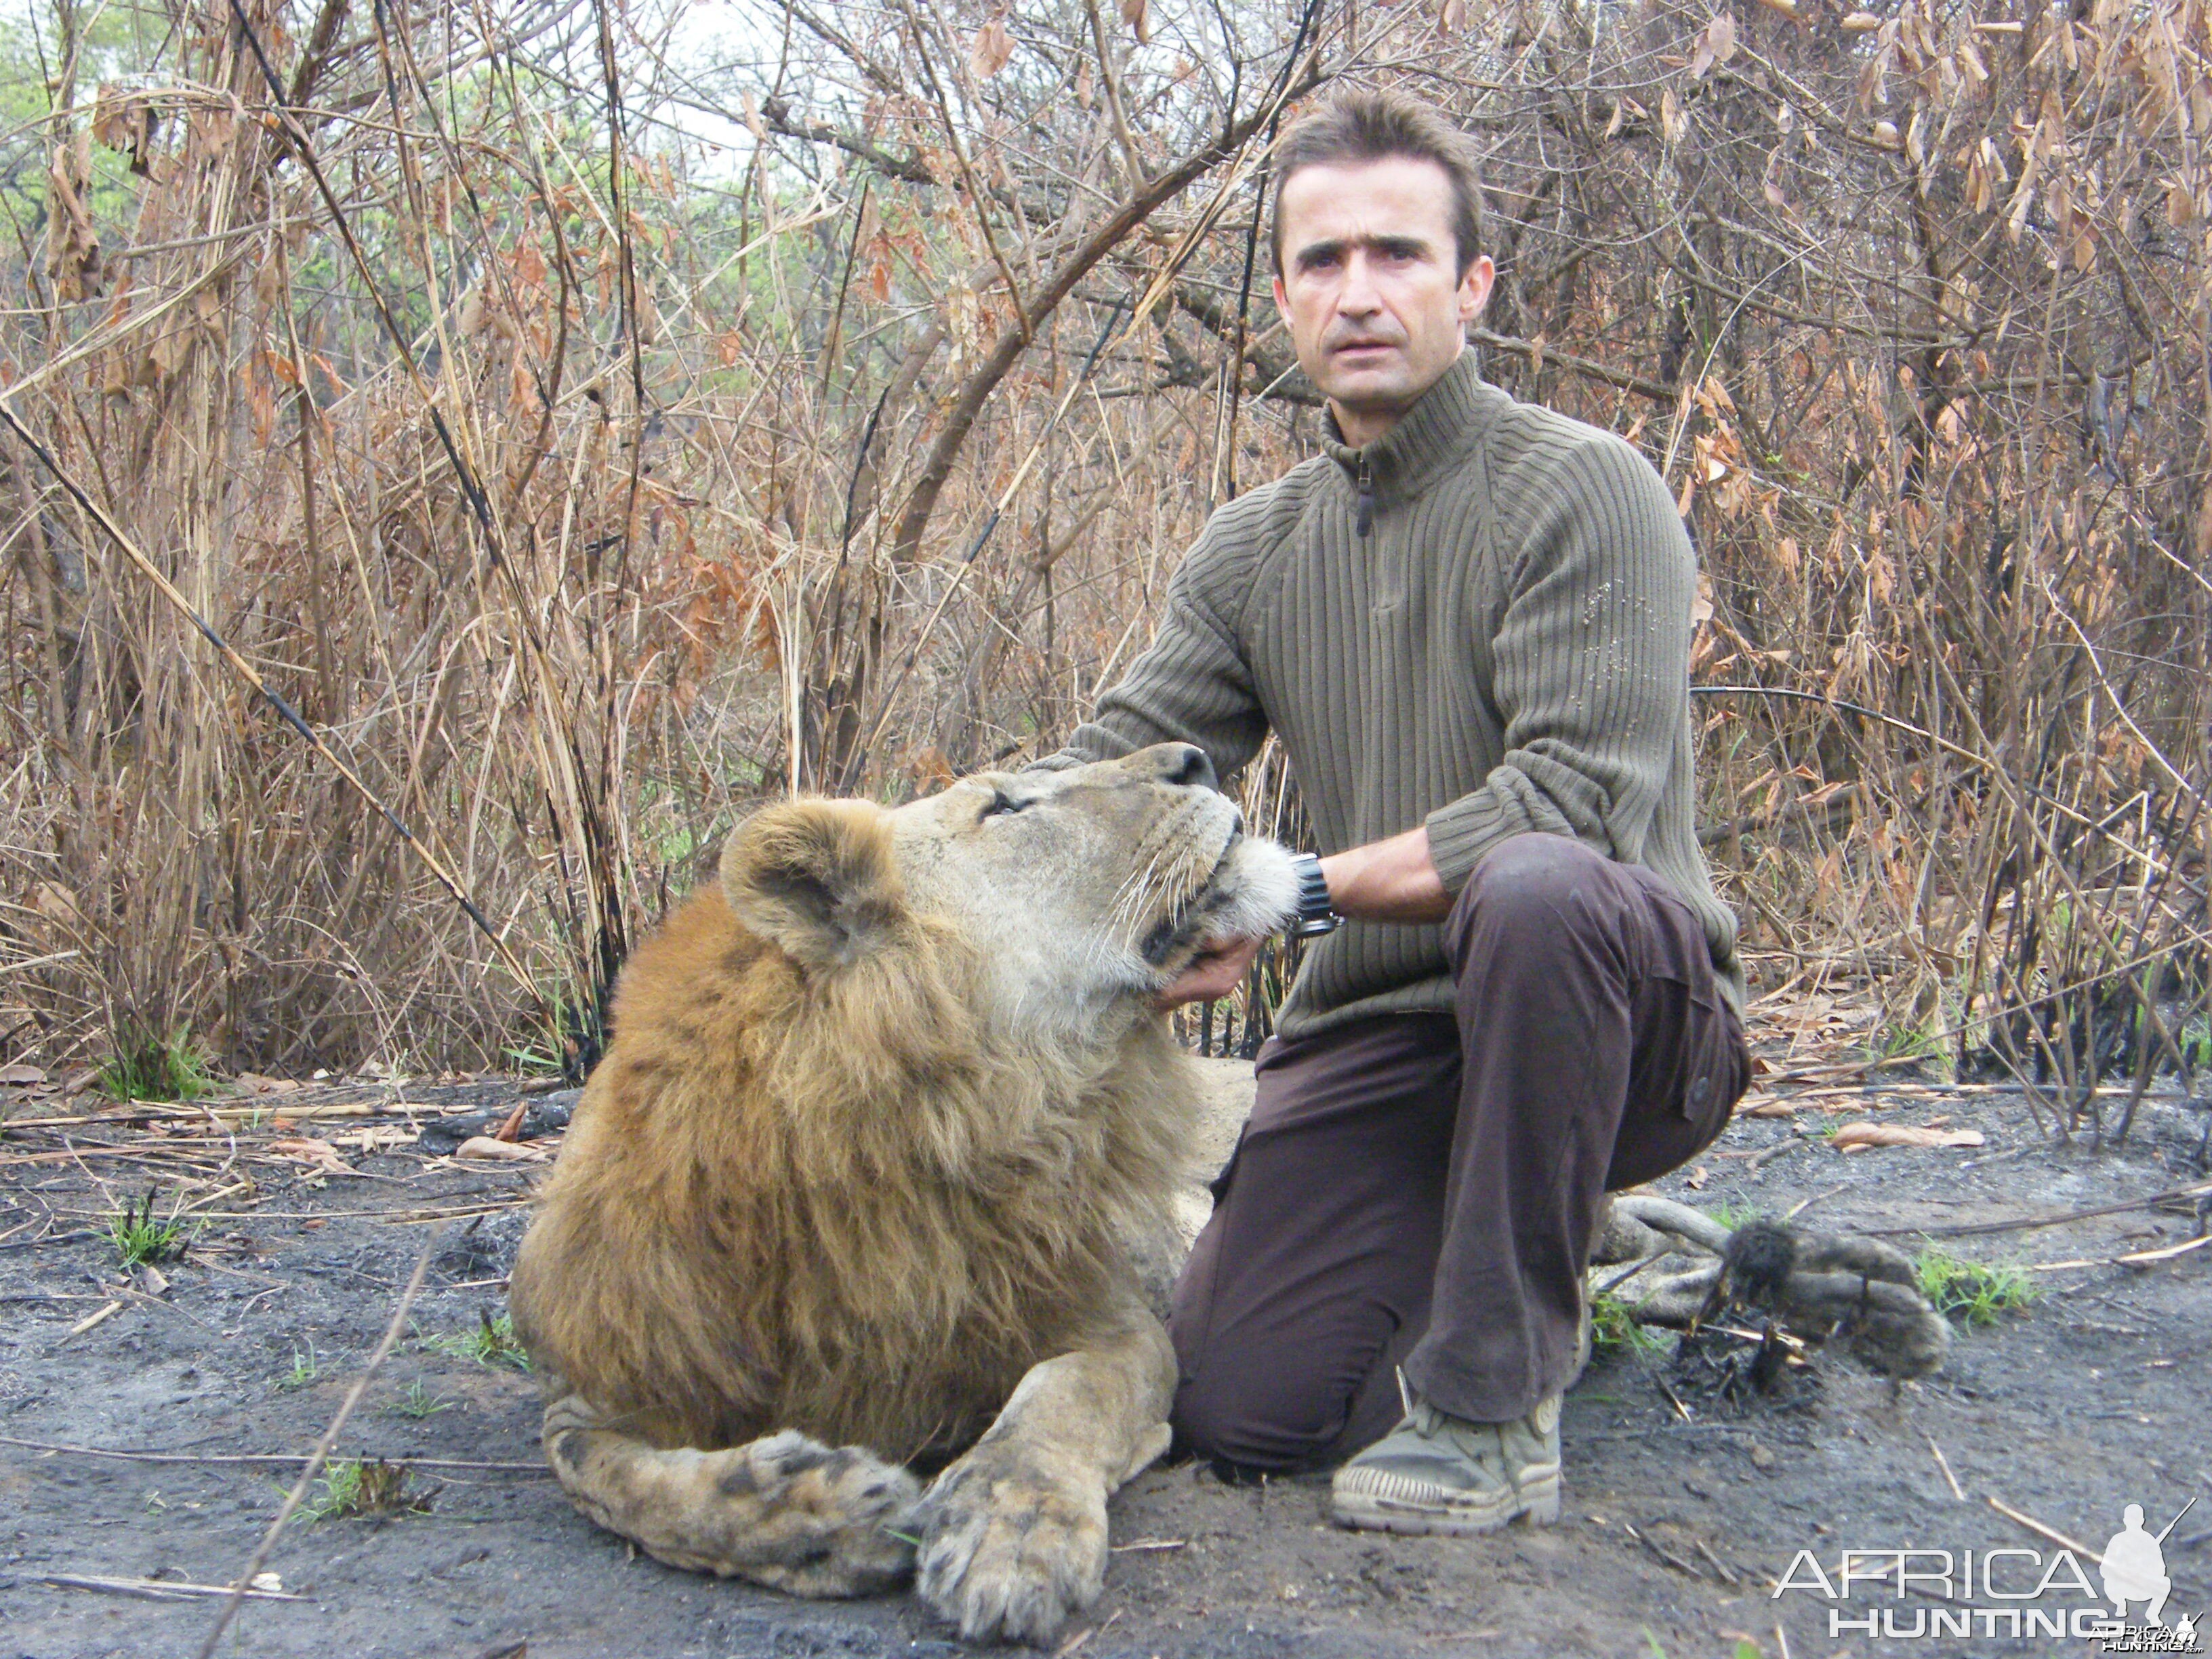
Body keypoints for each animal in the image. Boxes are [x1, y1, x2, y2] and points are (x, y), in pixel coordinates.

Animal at [506, 743, 1292, 1654]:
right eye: (1006, 808)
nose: (1195, 759)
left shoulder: (1108, 1315)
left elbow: (1061, 1401)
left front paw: (1008, 1531)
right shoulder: (613, 1374)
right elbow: (609, 1479)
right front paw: (821, 1515)